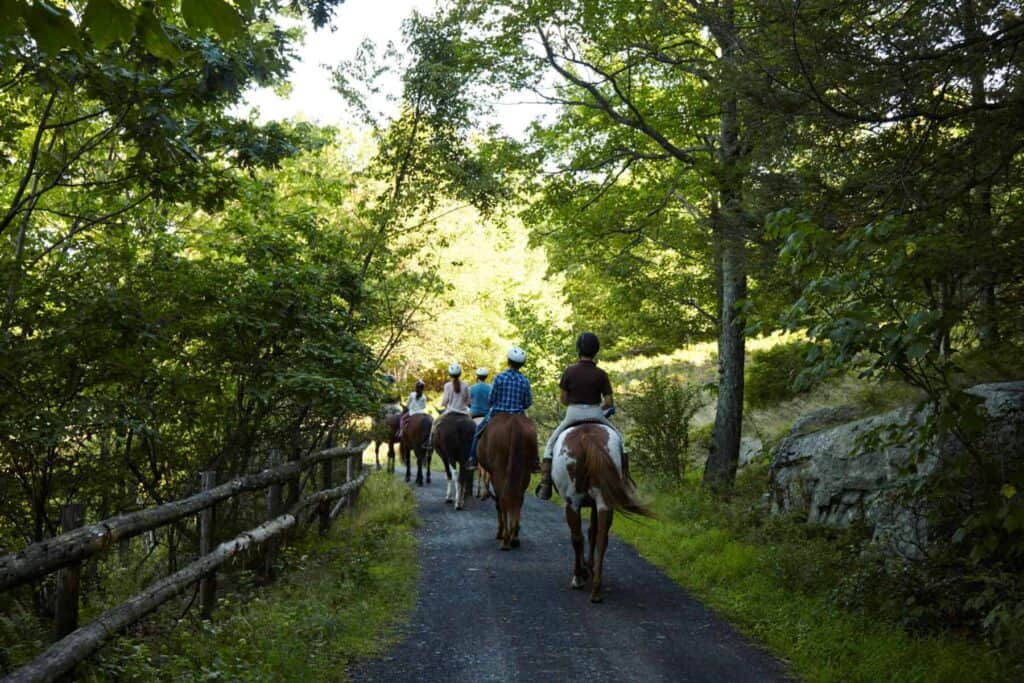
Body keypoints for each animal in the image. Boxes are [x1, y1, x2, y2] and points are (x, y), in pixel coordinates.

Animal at [475, 411, 536, 548]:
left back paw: (505, 538)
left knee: (502, 499)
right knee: (518, 499)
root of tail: (514, 423)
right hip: (525, 472)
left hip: (499, 470)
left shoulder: (492, 473)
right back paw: (514, 537)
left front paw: (500, 532)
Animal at [552, 423, 655, 606]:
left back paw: (579, 577)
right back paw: (596, 589)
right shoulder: (595, 504)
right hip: (603, 501)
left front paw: (584, 570)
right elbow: (592, 532)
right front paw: (589, 567)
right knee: (601, 539)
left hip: (573, 502)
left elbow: (583, 535)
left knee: (577, 538)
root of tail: (588, 436)